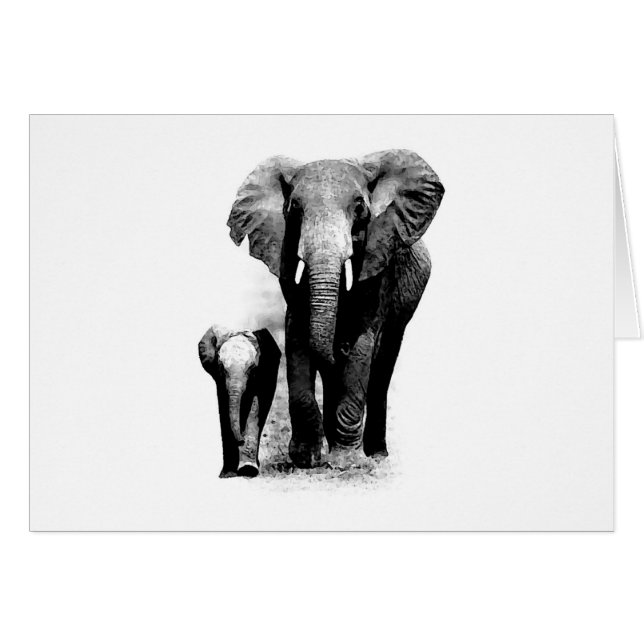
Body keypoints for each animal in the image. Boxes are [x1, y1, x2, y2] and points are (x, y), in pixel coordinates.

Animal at [198, 325, 281, 477]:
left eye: (252, 368)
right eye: (221, 367)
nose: (240, 440)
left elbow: (255, 408)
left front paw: (248, 470)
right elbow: (224, 407)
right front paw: (228, 474)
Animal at [226, 149, 445, 468]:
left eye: (359, 207)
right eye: (294, 208)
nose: (337, 347)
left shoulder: (378, 259)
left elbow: (362, 345)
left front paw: (345, 462)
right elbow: (297, 335)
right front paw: (306, 459)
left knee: (383, 365)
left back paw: (376, 454)